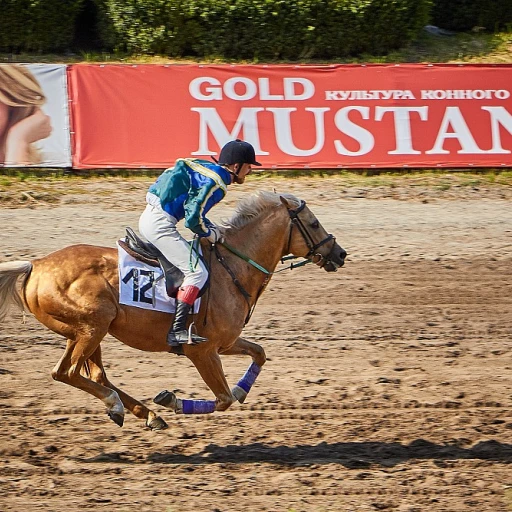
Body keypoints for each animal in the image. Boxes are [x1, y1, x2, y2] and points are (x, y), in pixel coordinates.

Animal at [0, 190, 346, 430]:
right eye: (314, 223)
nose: (340, 254)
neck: (232, 268)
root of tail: (37, 265)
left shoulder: (225, 343)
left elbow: (258, 355)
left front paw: (241, 389)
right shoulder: (202, 352)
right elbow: (223, 399)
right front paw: (174, 401)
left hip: (87, 331)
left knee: (94, 373)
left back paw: (143, 413)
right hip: (92, 327)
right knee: (67, 372)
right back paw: (121, 405)